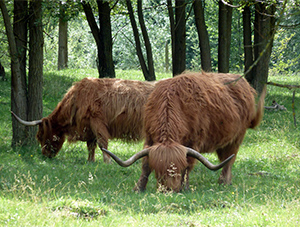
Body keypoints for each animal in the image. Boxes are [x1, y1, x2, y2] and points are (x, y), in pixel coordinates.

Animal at [11, 77, 155, 162]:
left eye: (40, 135)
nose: (45, 154)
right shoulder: (89, 128)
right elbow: (91, 146)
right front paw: (90, 161)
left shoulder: (97, 122)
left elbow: (102, 144)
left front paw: (107, 162)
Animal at [102, 71, 264, 192]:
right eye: (159, 171)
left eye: (178, 169)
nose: (170, 189)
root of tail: (244, 83)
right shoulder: (148, 137)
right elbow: (145, 164)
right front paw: (139, 187)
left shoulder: (194, 141)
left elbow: (189, 163)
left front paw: (185, 187)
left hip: (237, 137)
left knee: (229, 159)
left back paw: (224, 182)